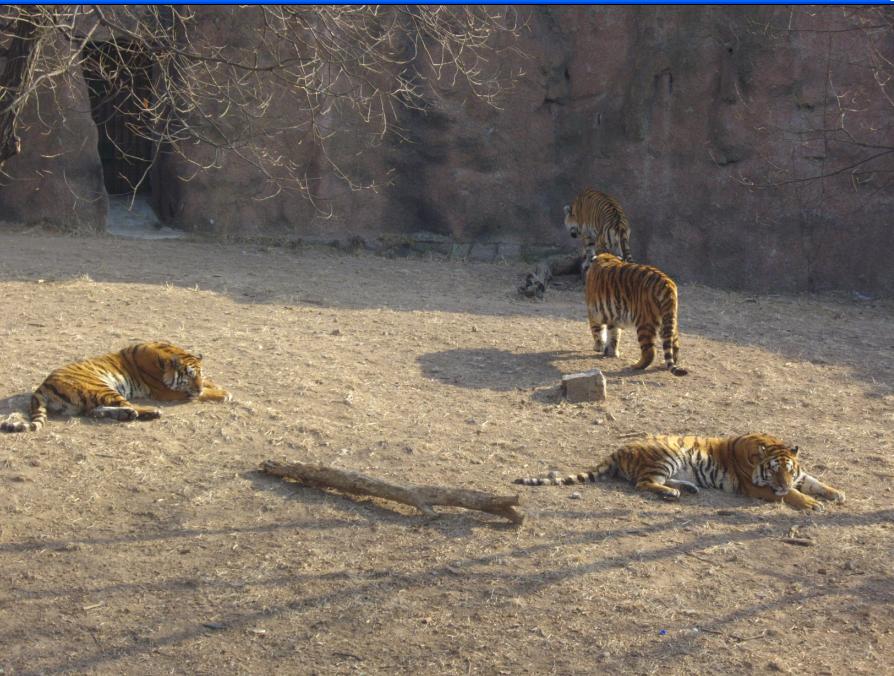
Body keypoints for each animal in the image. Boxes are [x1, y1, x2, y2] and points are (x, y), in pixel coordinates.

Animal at [0, 338, 231, 434]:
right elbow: (202, 394)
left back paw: (126, 415)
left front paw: (217, 385)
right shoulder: (167, 392)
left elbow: (209, 383)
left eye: (199, 373)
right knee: (128, 405)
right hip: (101, 386)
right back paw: (150, 412)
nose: (197, 387)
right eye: (189, 376)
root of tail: (42, 386)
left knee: (93, 411)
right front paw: (223, 393)